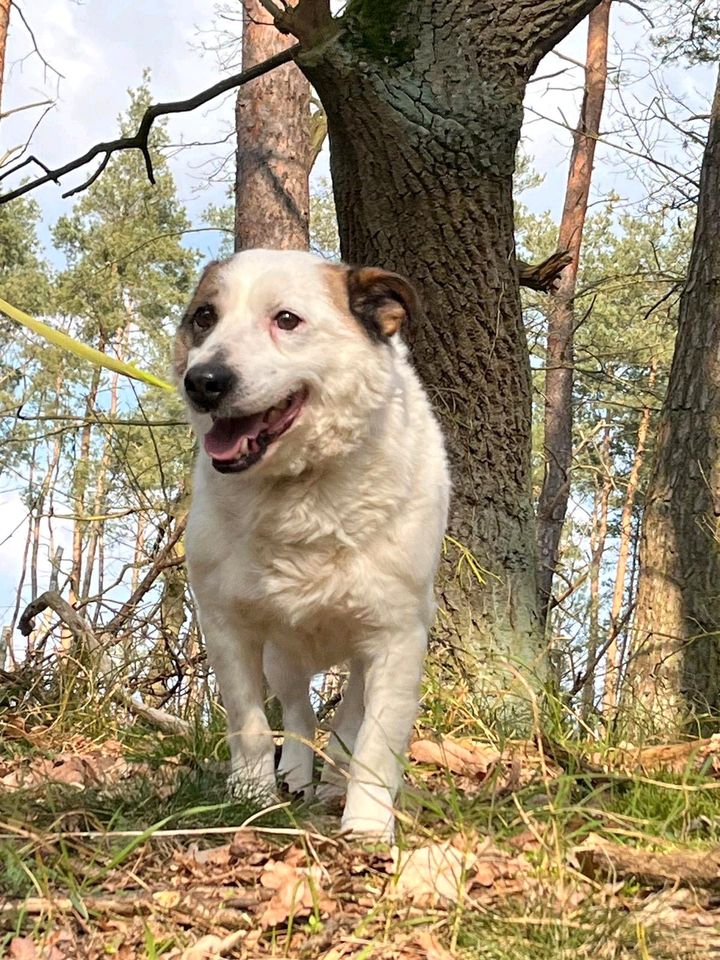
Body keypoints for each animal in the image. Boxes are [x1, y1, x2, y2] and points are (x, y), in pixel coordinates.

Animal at [174, 249, 448, 840]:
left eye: (286, 319)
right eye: (204, 317)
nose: (203, 381)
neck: (301, 490)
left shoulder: (395, 639)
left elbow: (375, 741)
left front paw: (366, 825)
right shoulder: (228, 627)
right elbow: (251, 725)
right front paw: (250, 799)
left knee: (347, 719)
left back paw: (331, 781)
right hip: (284, 655)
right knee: (299, 712)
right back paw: (298, 777)